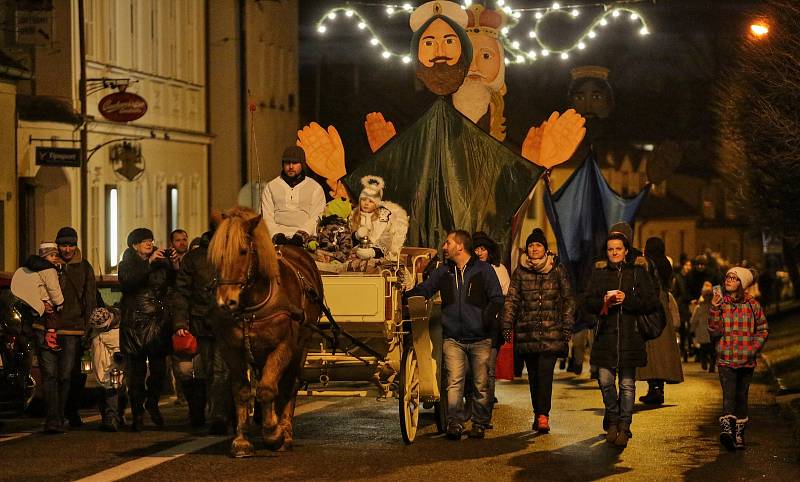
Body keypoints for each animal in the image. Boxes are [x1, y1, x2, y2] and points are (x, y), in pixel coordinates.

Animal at [208, 206, 324, 456]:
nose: (225, 302)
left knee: (290, 384)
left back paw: (285, 431)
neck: (251, 305)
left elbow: (269, 389)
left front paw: (274, 434)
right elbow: (242, 391)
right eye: (216, 255)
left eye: (243, 252)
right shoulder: (231, 349)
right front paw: (241, 441)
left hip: (302, 345)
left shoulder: (284, 346)